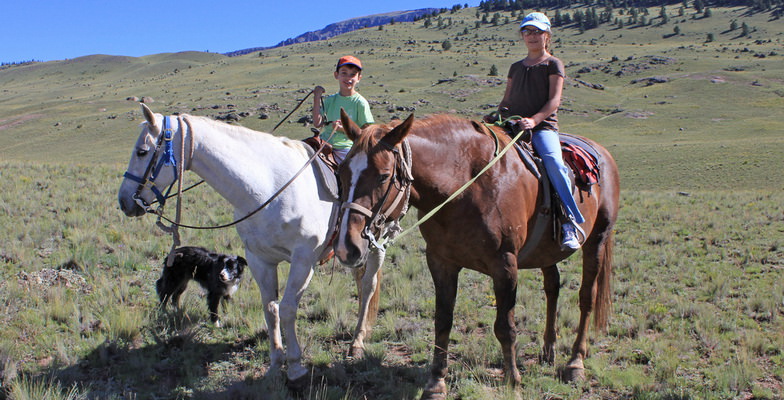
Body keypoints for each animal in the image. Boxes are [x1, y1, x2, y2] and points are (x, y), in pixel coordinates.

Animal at [116, 104, 382, 384]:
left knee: (368, 286)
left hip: (374, 246)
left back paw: (357, 341)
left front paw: (295, 366)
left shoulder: (303, 260)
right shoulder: (258, 259)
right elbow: (271, 309)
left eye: (142, 151)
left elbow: (288, 308)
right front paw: (276, 363)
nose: (124, 201)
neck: (267, 189)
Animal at [336, 111, 620, 398]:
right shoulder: (441, 261)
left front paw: (512, 381)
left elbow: (505, 327)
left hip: (597, 240)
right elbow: (443, 321)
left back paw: (575, 363)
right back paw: (548, 350)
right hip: (546, 252)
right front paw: (436, 383)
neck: (465, 187)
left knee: (587, 298)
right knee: (553, 287)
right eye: (342, 172)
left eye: (384, 176)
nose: (347, 247)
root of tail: (603, 152)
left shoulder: (505, 265)